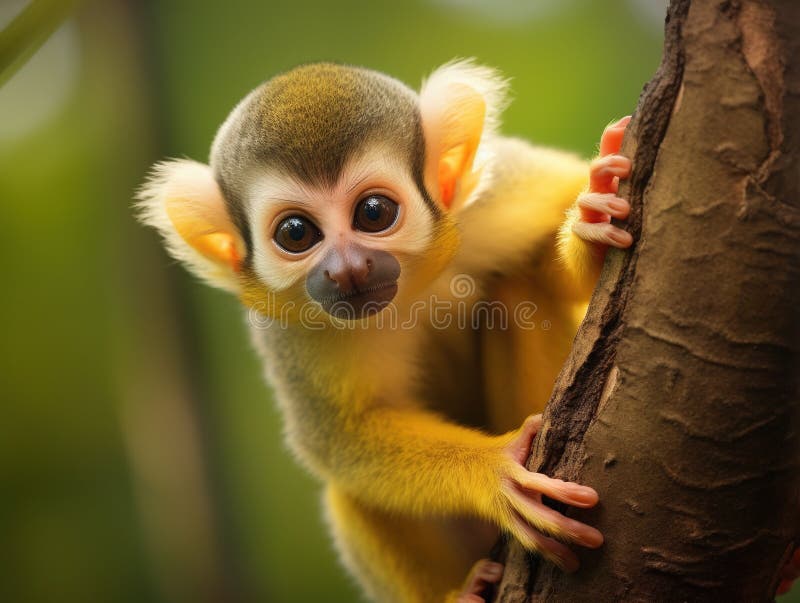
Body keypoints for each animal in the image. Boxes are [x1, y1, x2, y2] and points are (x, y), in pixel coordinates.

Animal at [136, 60, 635, 602]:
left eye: (373, 213)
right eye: (296, 233)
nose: (348, 270)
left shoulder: (497, 198)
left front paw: (592, 223)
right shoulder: (291, 329)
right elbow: (340, 438)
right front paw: (493, 473)